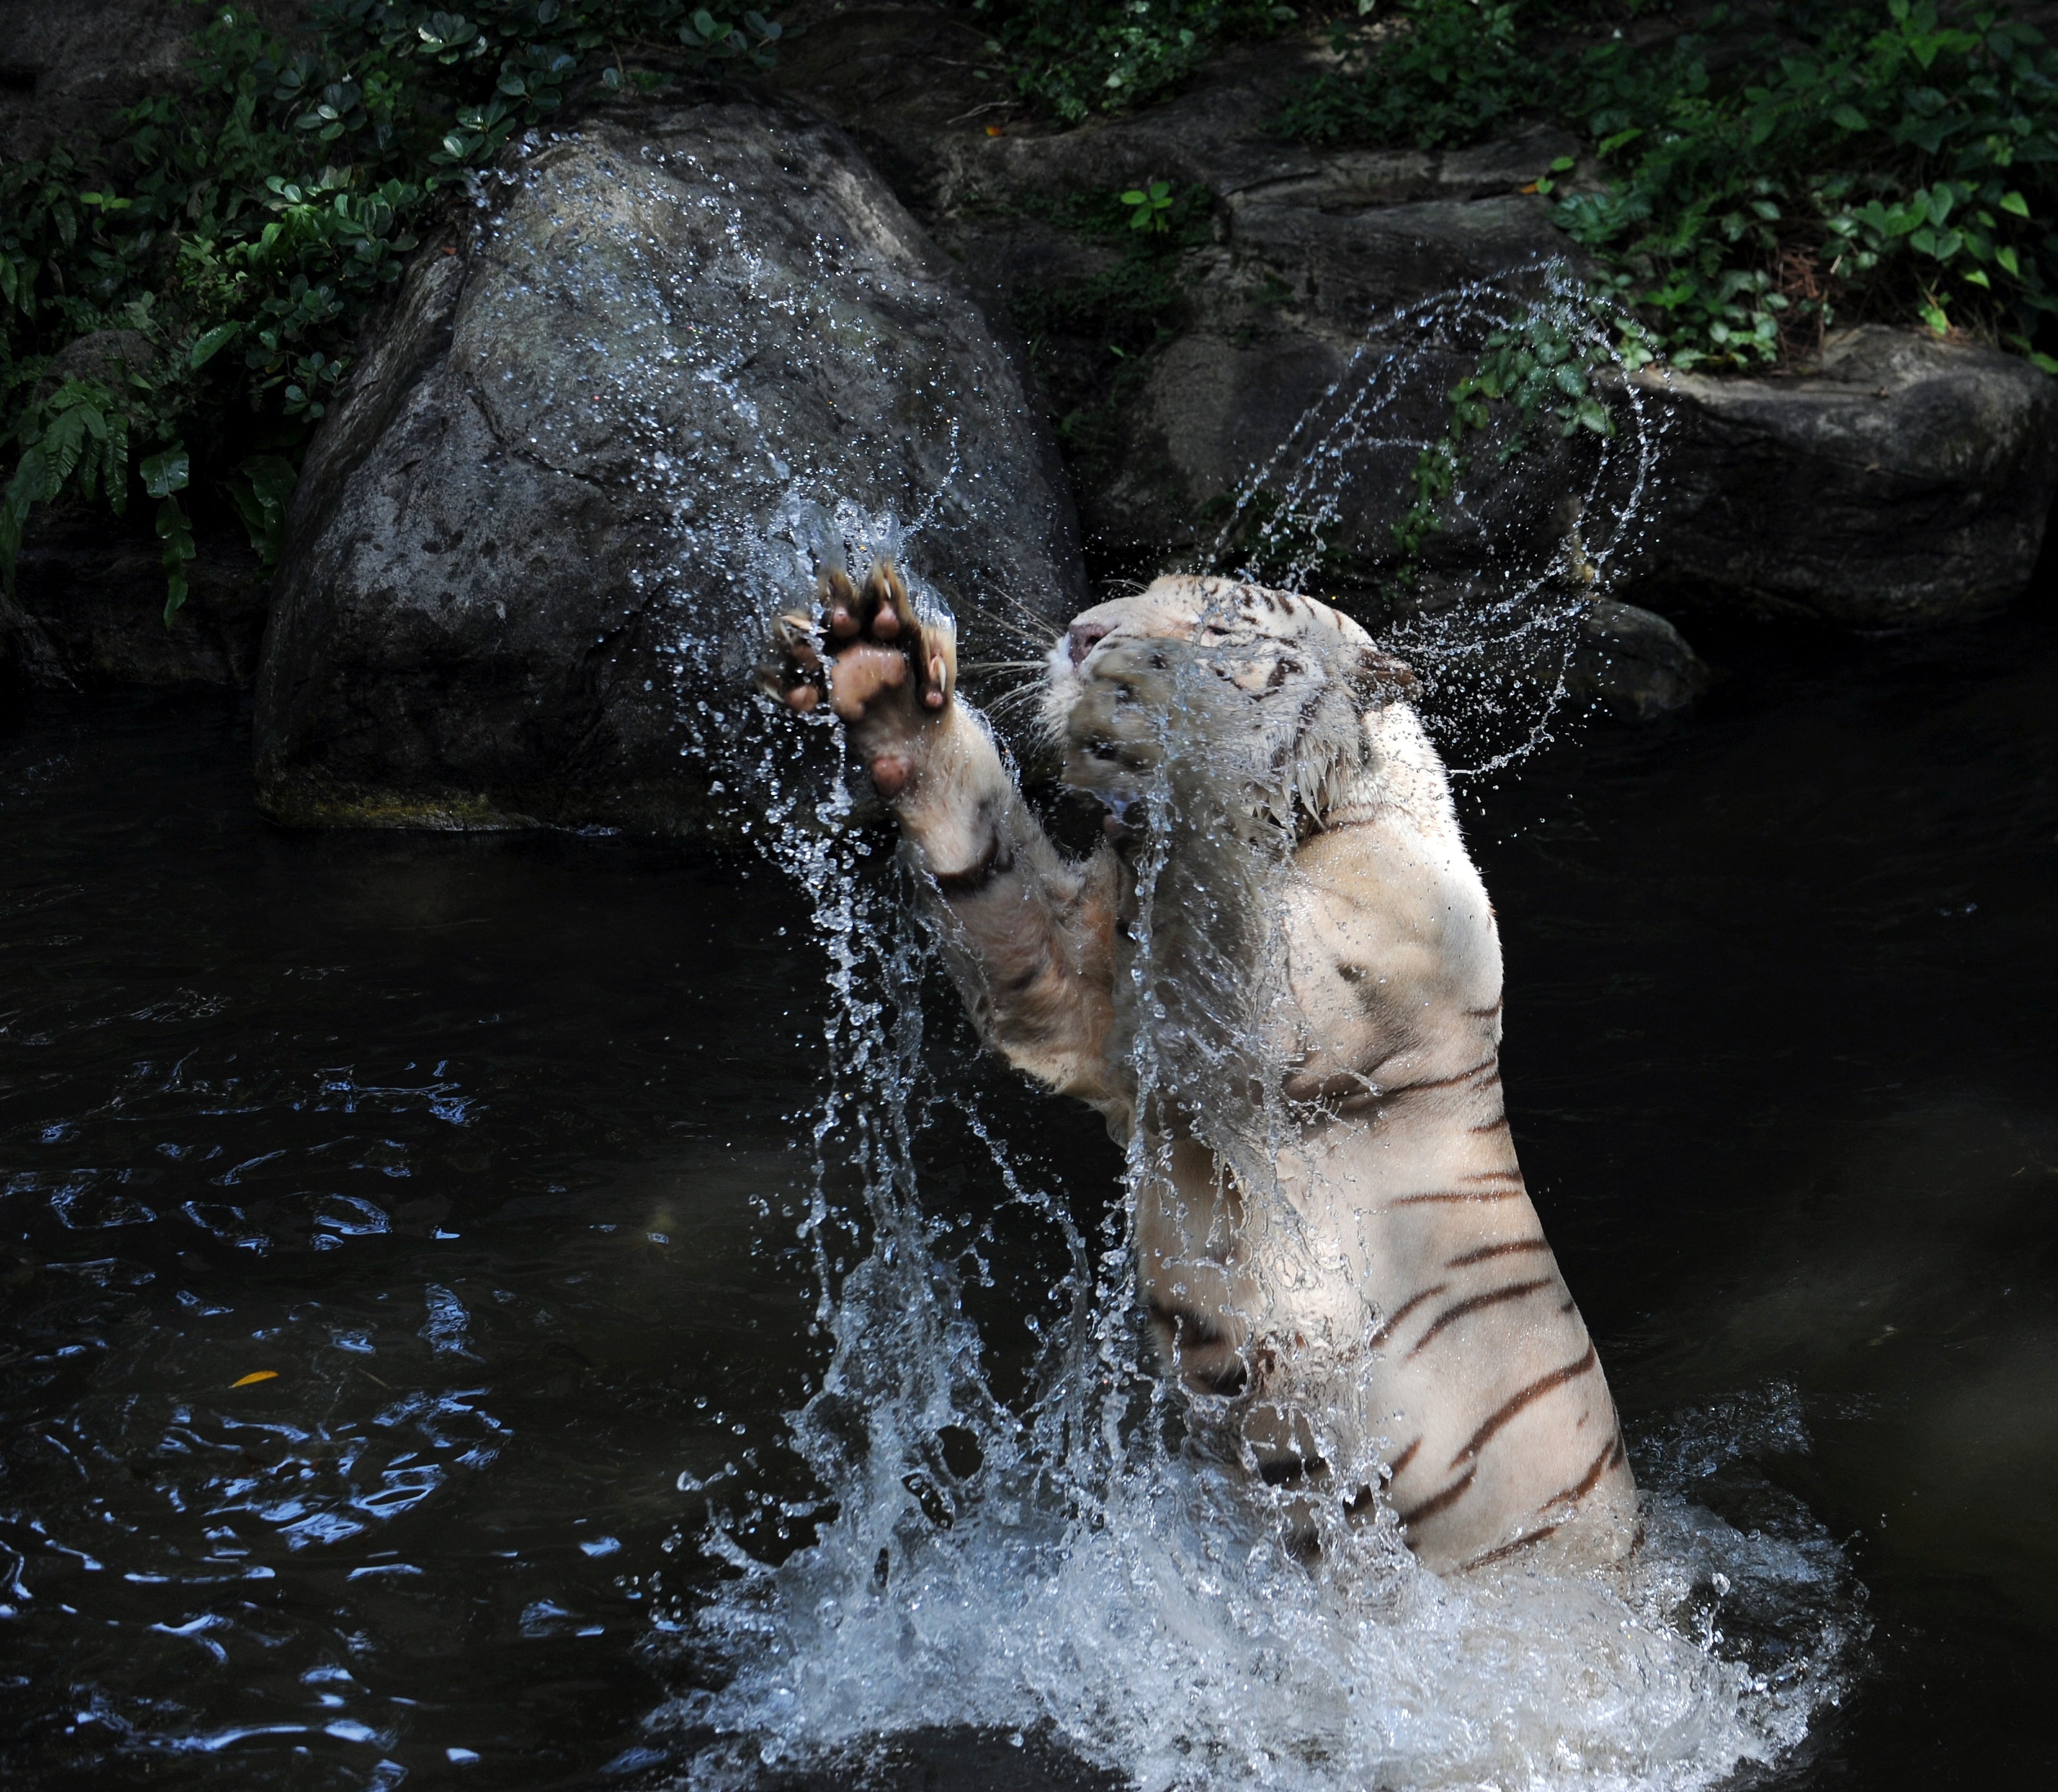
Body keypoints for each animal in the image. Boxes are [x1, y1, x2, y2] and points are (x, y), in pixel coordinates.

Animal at [759, 562, 1637, 1574]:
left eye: (1220, 627)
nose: (1084, 637)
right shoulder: (1085, 1002)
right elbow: (992, 861)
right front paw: (883, 675)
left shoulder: (1277, 1016)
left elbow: (1212, 860)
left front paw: (1145, 707)